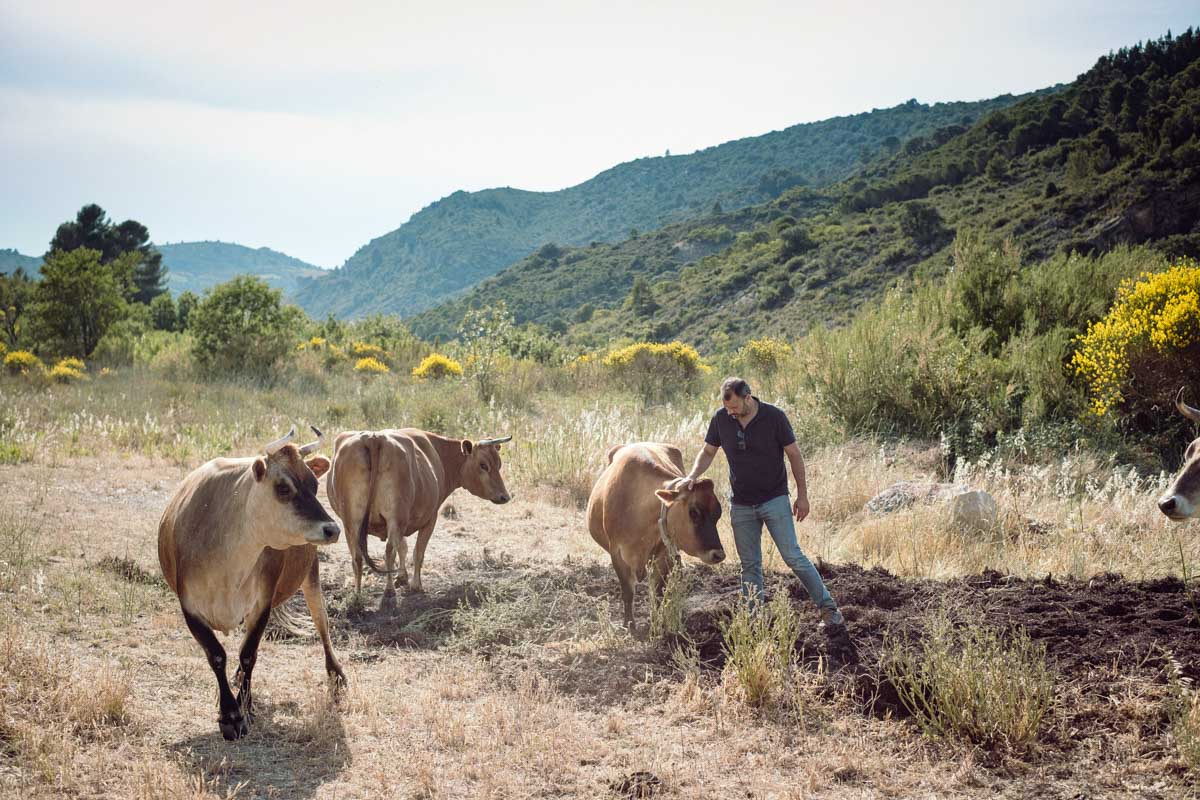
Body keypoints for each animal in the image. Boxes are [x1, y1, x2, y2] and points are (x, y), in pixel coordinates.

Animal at [157, 429, 345, 743]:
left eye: (314, 484)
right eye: (283, 487)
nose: (332, 529)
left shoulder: (261, 604)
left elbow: (248, 655)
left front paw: (242, 708)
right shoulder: (189, 607)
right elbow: (216, 655)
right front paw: (230, 715)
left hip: (310, 574)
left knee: (323, 623)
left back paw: (336, 675)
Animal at [328, 431, 511, 606]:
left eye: (499, 464)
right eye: (483, 465)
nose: (505, 496)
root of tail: (374, 437)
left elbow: (403, 547)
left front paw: (402, 577)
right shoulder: (430, 519)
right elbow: (418, 552)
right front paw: (416, 585)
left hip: (351, 522)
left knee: (357, 557)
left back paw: (357, 595)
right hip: (394, 518)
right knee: (389, 552)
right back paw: (389, 592)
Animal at [585, 441, 724, 628]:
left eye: (718, 514)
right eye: (694, 512)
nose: (718, 554)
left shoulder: (664, 554)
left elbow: (657, 593)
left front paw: (656, 622)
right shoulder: (617, 554)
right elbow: (628, 592)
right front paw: (629, 625)